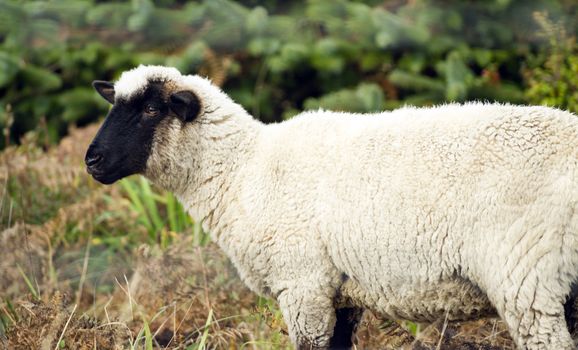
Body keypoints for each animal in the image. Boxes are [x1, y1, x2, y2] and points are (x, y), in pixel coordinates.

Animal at [84, 64, 576, 348]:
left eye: (152, 109)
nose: (92, 160)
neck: (243, 170)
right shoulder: (340, 292)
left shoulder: (303, 284)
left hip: (527, 277)